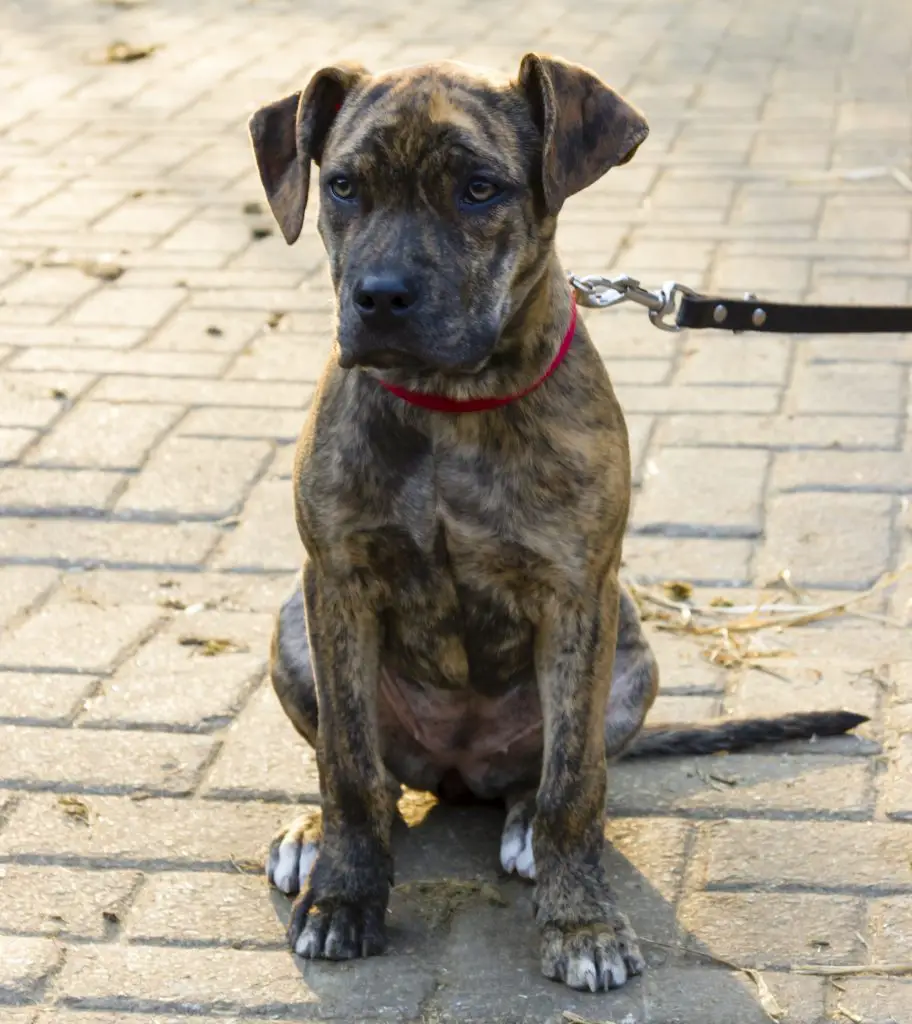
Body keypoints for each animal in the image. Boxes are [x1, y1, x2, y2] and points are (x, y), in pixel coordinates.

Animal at [249, 56, 872, 991]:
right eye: (345, 186)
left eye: (480, 189)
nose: (381, 298)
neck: (450, 404)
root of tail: (458, 771)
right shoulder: (340, 584)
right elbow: (348, 765)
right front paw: (346, 896)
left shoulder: (578, 595)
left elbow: (575, 783)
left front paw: (582, 922)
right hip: (295, 625)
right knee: (376, 775)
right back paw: (317, 835)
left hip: (631, 657)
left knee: (537, 784)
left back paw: (523, 832)